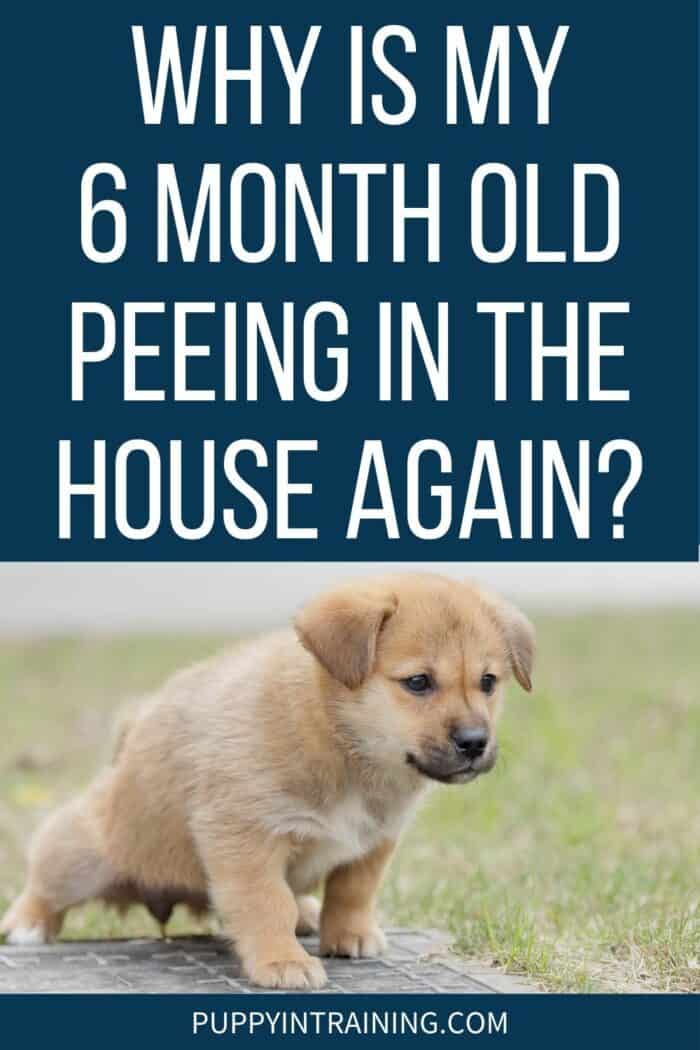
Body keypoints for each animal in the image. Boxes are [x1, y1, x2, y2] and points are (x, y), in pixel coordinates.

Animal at [1, 571, 537, 986]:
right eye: (418, 683)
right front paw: (281, 962)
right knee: (45, 879)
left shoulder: (374, 842)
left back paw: (309, 914)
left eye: (488, 683)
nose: (474, 742)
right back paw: (28, 924)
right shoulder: (246, 838)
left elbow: (353, 891)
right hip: (83, 854)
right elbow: (266, 903)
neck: (341, 744)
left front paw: (349, 934)